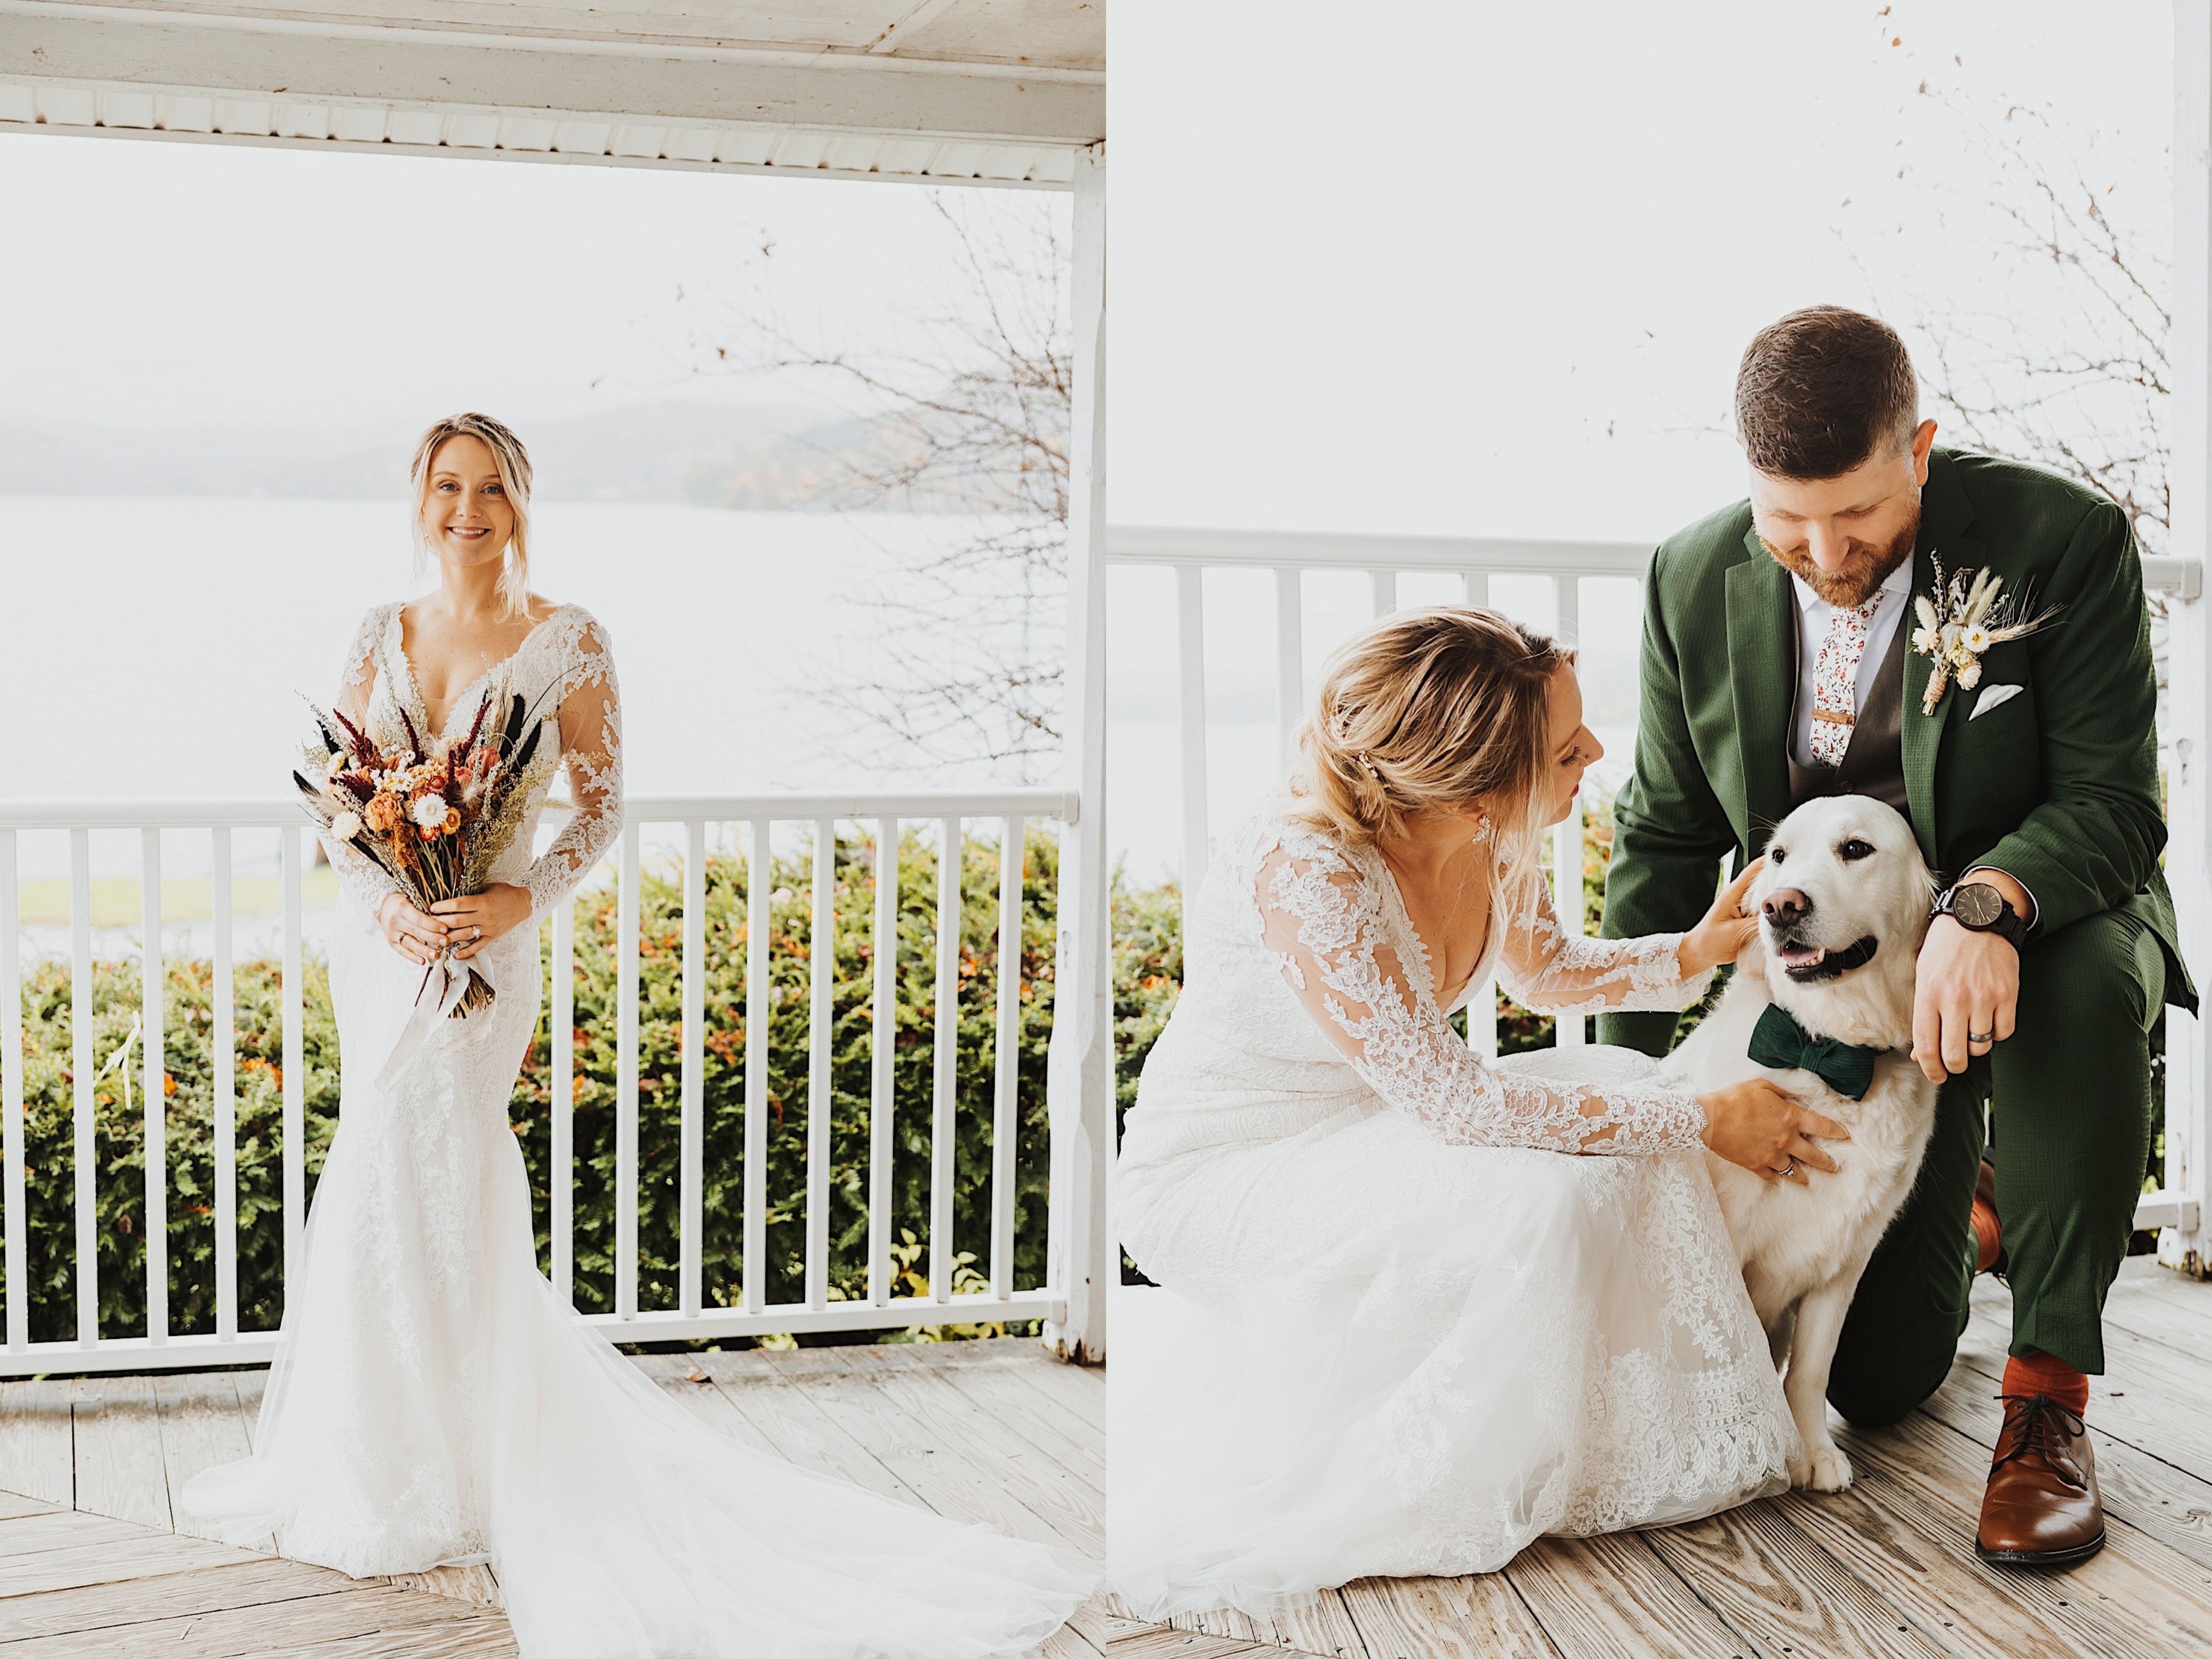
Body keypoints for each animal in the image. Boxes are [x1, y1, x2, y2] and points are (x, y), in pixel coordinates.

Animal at [1663, 792, 1938, 1495]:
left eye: (1856, 849)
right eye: (1780, 855)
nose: (1780, 906)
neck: (1828, 1050)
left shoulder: (1845, 1256)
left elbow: (1810, 1370)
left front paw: (1810, 1450)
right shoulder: (1726, 1241)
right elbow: (1738, 1357)